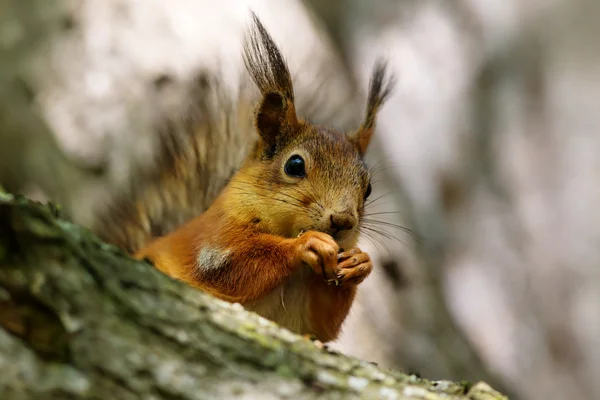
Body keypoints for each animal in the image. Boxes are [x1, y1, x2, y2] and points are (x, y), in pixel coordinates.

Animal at [94, 14, 394, 342]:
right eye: (295, 165)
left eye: (368, 189)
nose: (343, 221)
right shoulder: (213, 245)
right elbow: (237, 267)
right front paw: (306, 245)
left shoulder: (316, 310)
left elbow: (324, 325)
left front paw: (360, 263)